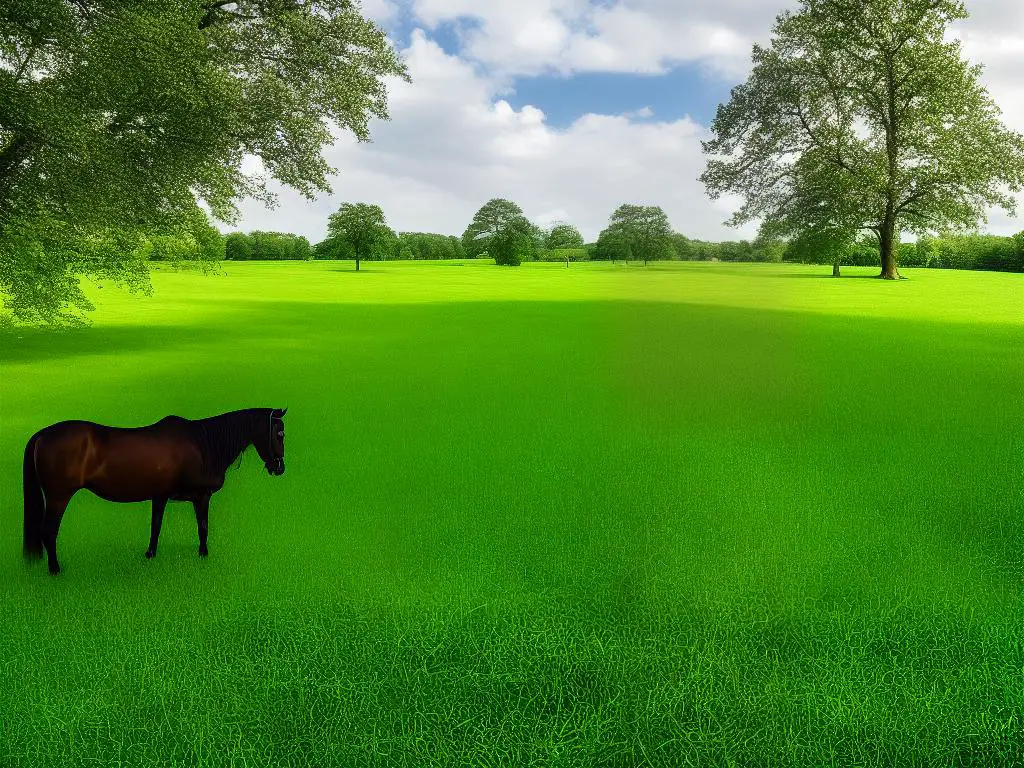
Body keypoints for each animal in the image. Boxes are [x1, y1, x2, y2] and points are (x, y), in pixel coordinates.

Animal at [22, 409, 286, 577]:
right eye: (279, 434)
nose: (280, 468)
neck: (204, 444)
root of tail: (42, 434)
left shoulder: (160, 496)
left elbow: (155, 526)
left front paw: (150, 554)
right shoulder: (202, 496)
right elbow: (203, 527)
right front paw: (203, 554)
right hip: (58, 497)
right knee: (48, 531)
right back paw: (55, 570)